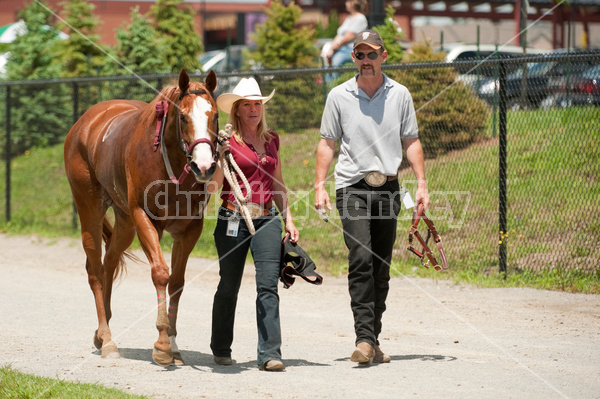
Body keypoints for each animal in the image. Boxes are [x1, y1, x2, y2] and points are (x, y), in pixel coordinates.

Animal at [65, 69, 218, 368]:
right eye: (183, 117)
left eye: (214, 115)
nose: (204, 166)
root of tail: (86, 122)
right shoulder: (145, 220)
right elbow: (160, 273)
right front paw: (162, 344)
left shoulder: (189, 229)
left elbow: (177, 283)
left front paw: (174, 345)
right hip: (90, 210)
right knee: (95, 271)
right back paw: (107, 339)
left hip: (125, 222)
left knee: (109, 262)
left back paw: (102, 332)